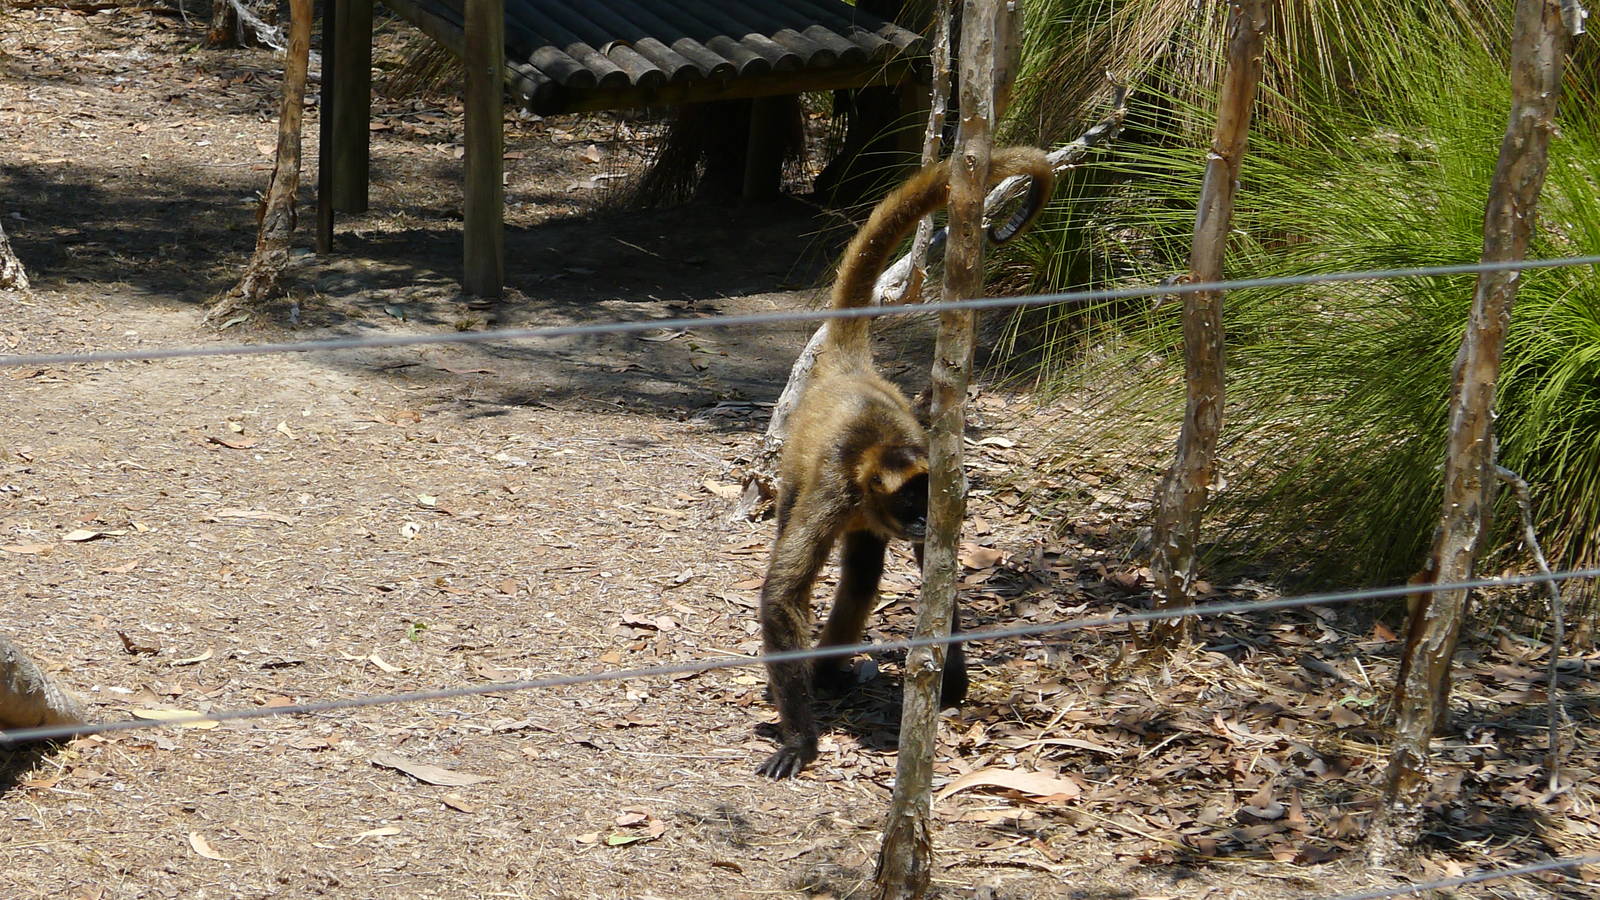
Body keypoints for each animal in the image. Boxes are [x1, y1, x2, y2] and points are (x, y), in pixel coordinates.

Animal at [756, 147, 1056, 778]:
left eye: (925, 501)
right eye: (907, 501)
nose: (920, 521)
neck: (872, 456)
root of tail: (850, 367)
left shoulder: (942, 489)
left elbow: (935, 580)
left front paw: (951, 683)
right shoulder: (833, 491)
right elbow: (782, 595)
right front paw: (801, 740)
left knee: (863, 574)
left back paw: (829, 669)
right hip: (801, 479)